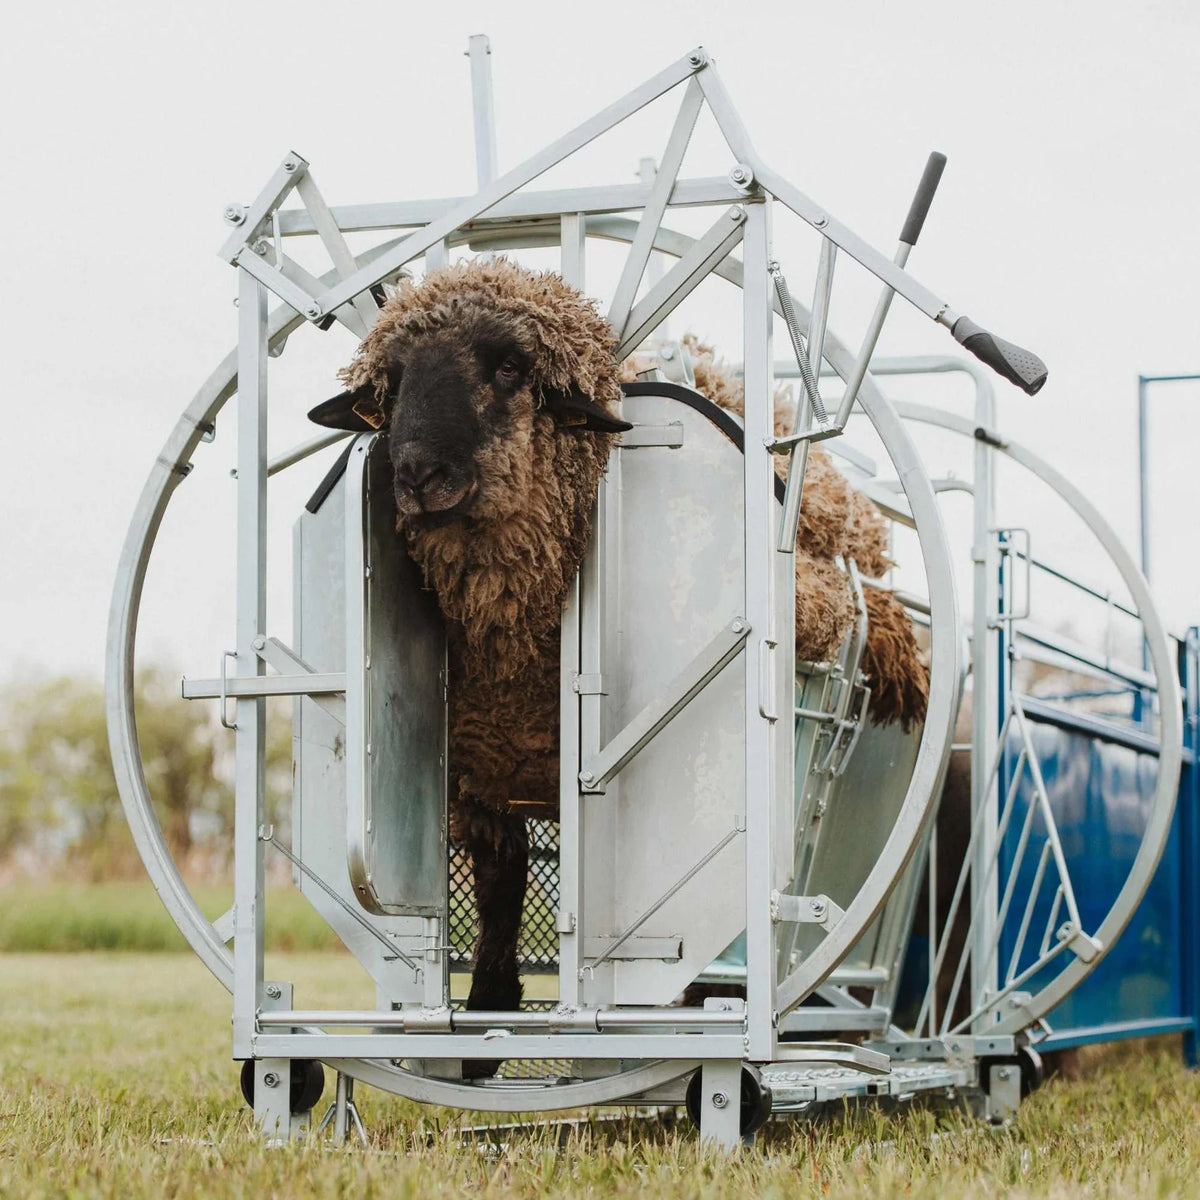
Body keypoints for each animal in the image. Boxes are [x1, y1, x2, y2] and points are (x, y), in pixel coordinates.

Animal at [309, 257, 928, 1076]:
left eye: (510, 366)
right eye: (392, 381)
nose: (414, 473)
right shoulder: (482, 776)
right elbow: (502, 889)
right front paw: (485, 1022)